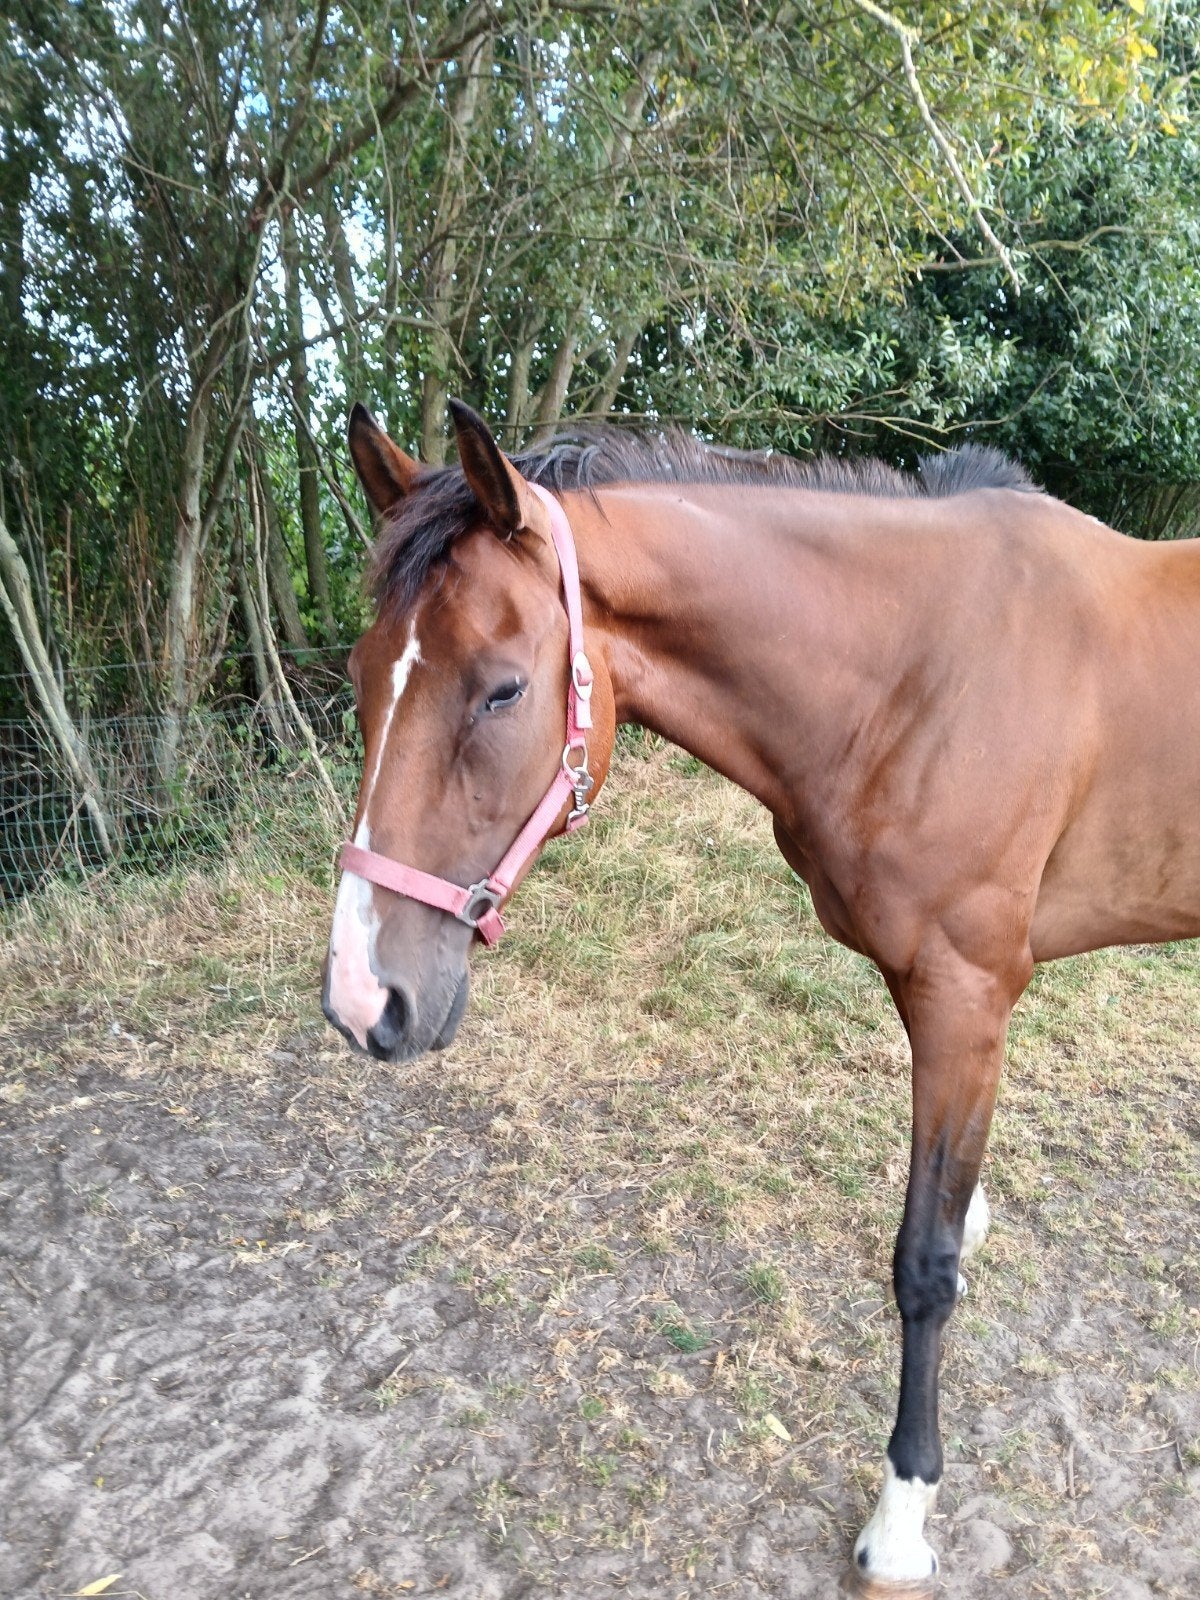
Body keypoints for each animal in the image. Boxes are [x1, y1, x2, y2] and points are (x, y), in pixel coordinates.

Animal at [322, 398, 1200, 1595]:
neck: (923, 669)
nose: (364, 997)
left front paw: (903, 1519)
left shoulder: (966, 992)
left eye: (502, 687)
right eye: (364, 673)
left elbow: (923, 1264)